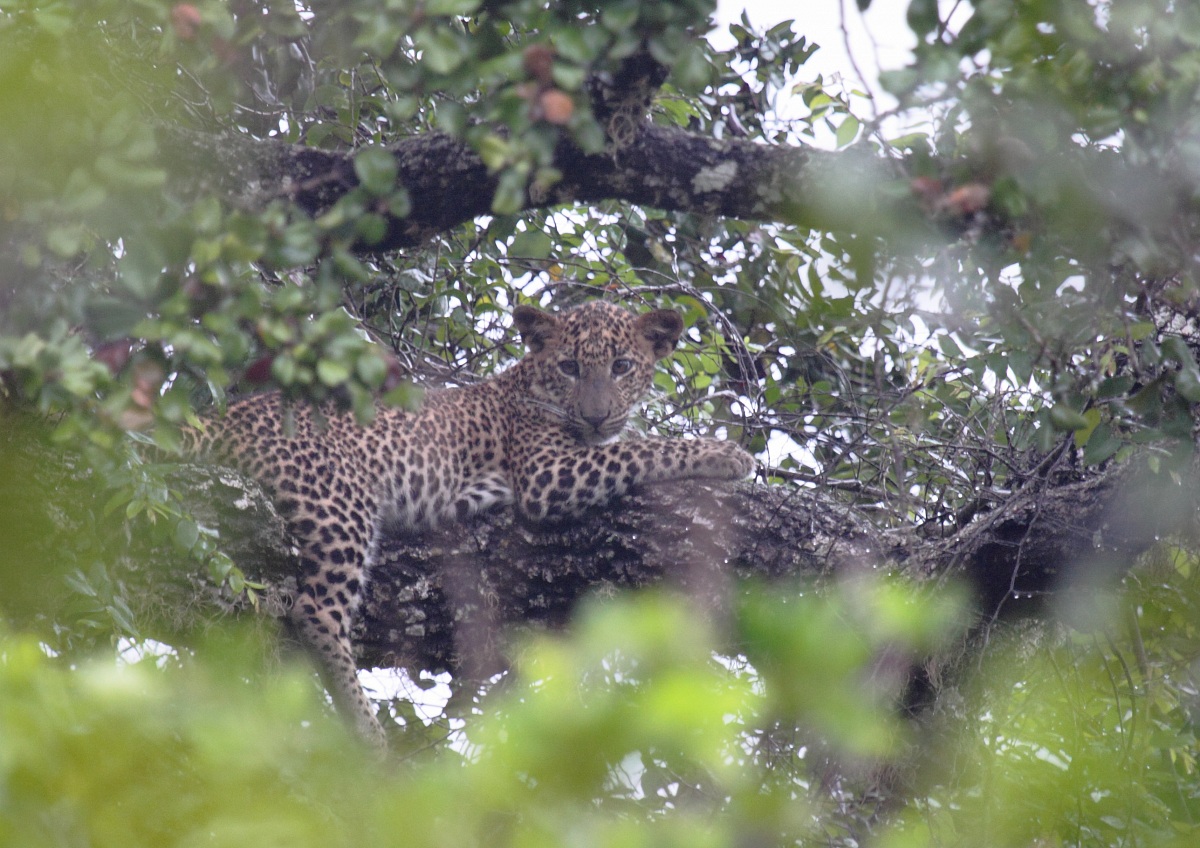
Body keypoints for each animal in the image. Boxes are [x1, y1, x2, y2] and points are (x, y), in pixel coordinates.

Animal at [182, 300, 756, 746]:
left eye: (621, 366)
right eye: (570, 367)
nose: (596, 416)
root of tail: (225, 416)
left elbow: (631, 442)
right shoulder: (548, 473)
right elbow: (642, 448)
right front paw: (727, 454)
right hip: (341, 503)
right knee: (316, 610)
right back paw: (368, 733)